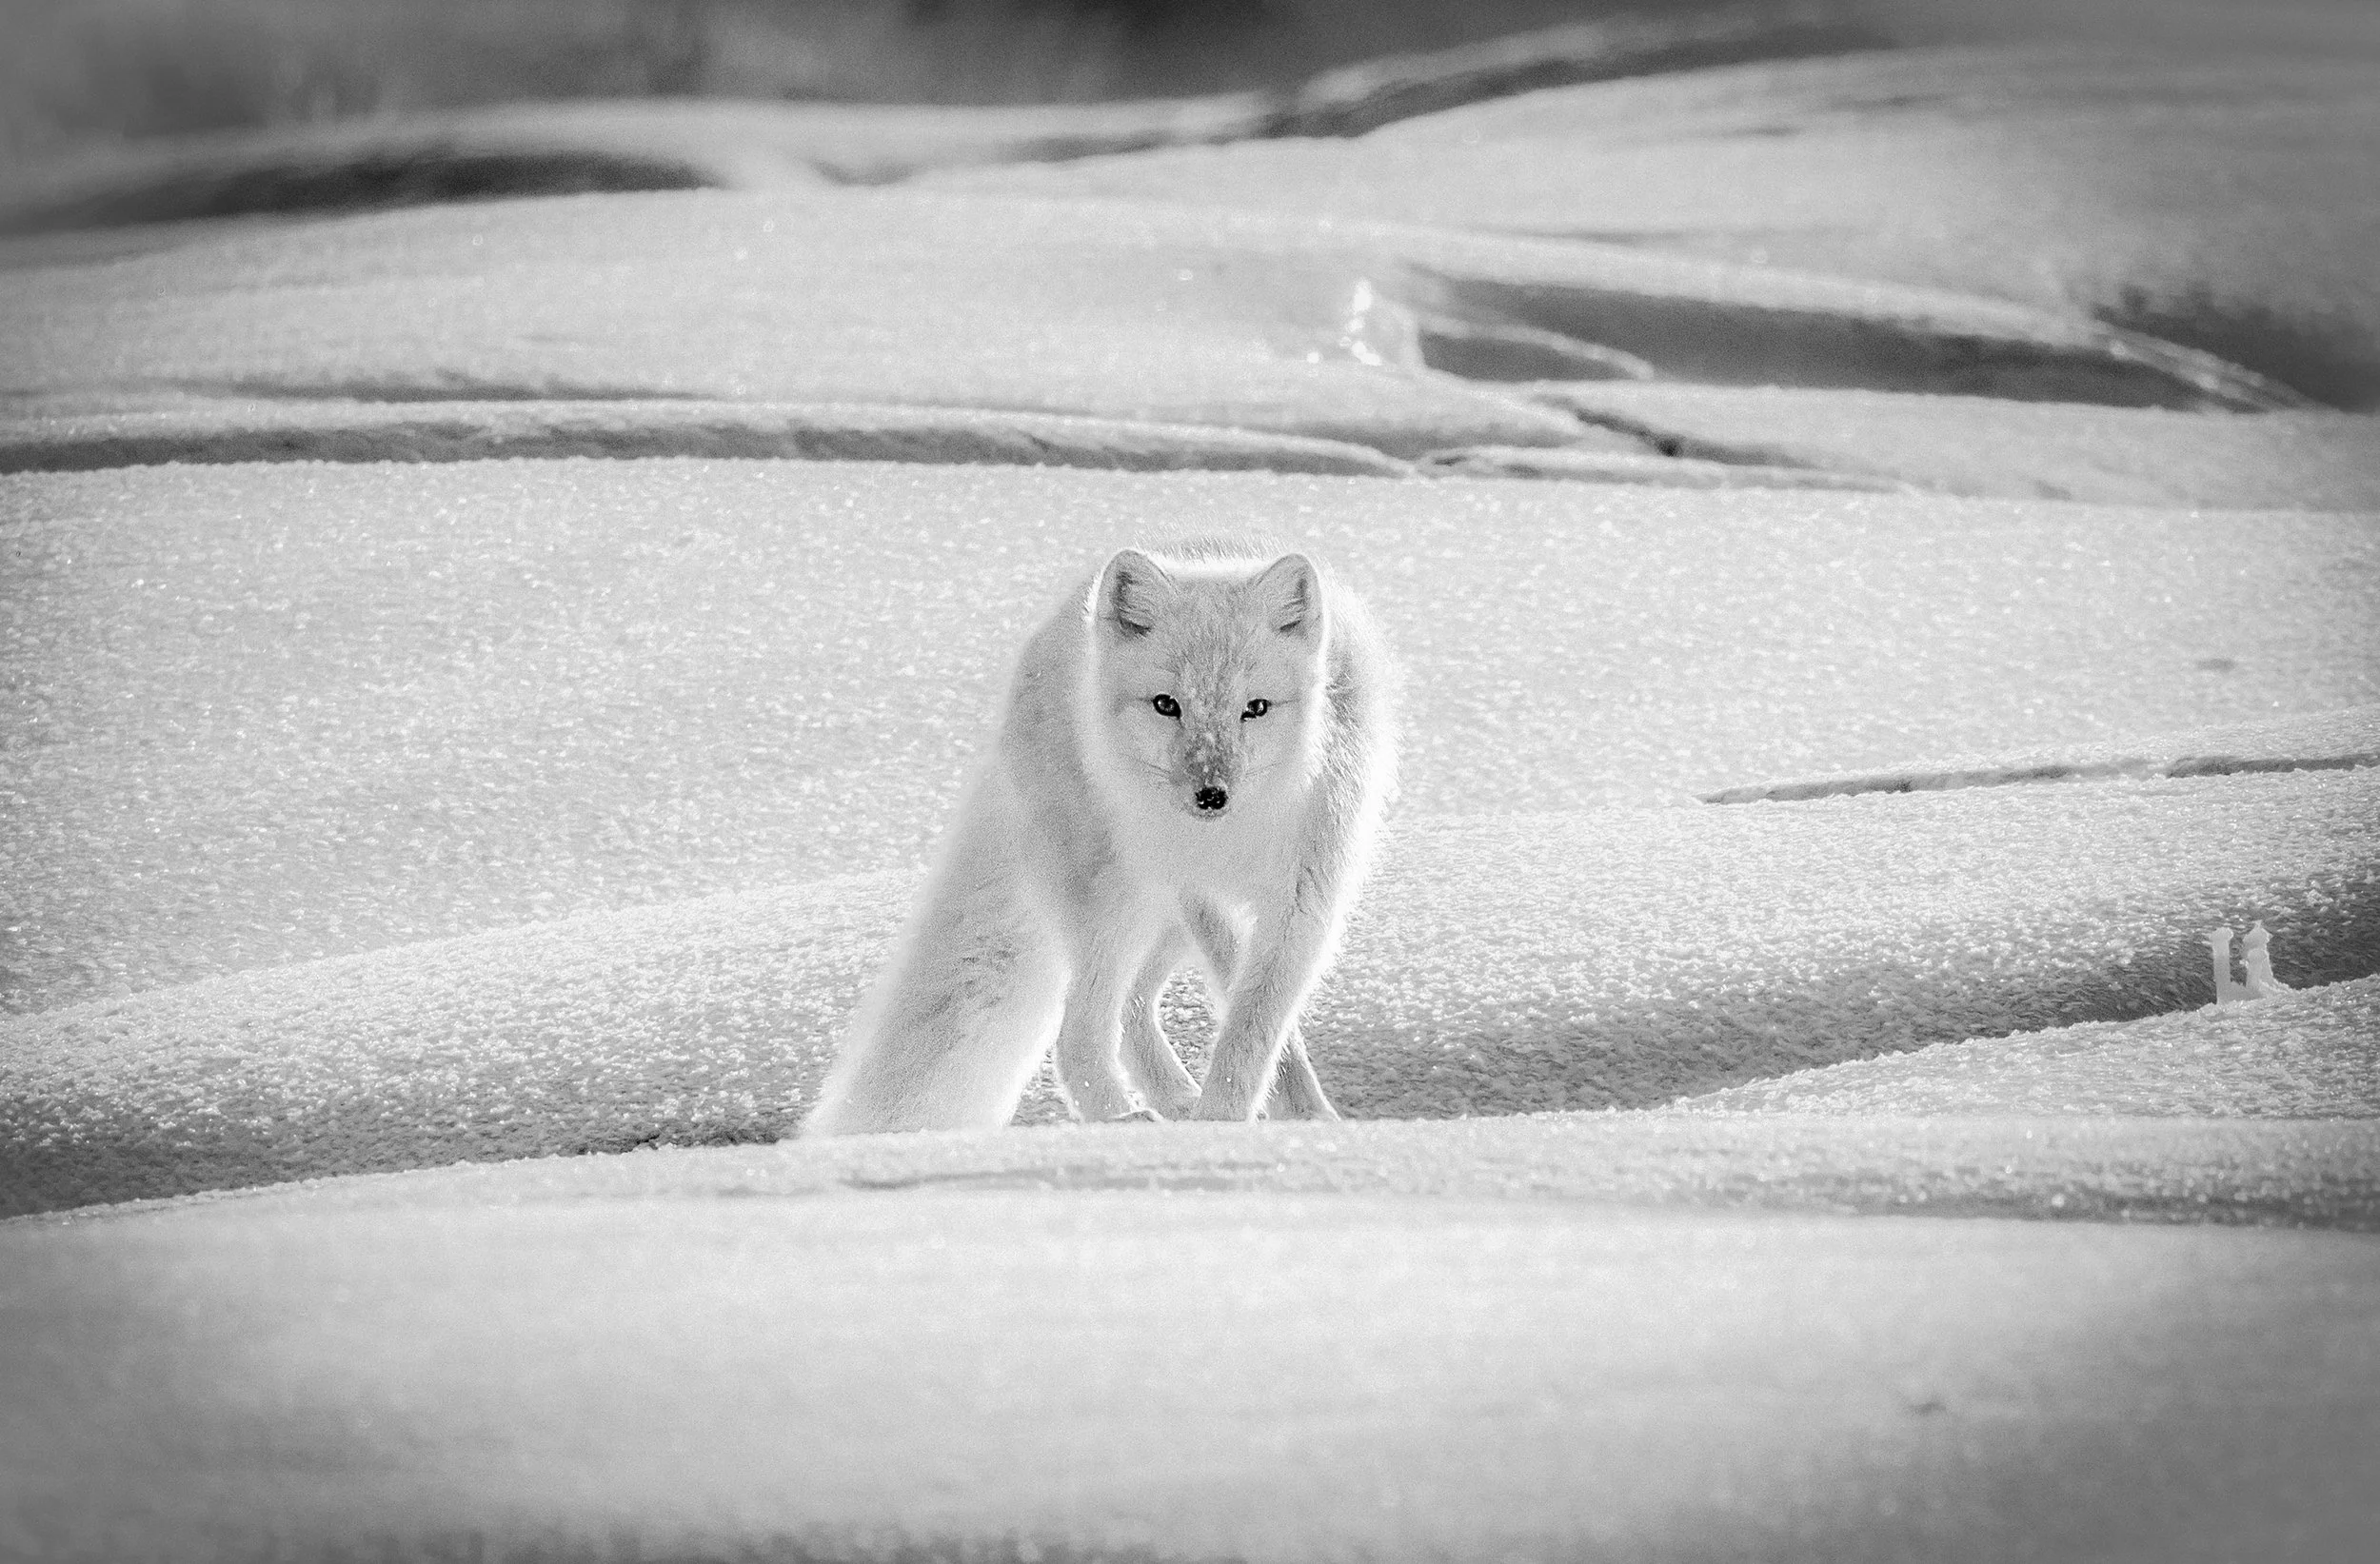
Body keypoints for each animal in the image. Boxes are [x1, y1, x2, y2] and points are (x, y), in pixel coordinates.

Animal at [802, 536, 1397, 1135]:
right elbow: (1243, 1004)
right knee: (1080, 1031)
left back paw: (1176, 1103)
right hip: (1118, 901)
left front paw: (1290, 1117)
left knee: (1133, 1006)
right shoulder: (1197, 893)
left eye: (1255, 708)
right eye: (1166, 705)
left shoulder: (1304, 899)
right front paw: (1225, 1123)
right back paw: (1123, 1119)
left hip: (1158, 922)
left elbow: (1258, 1018)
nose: (1211, 795)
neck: (1235, 838)